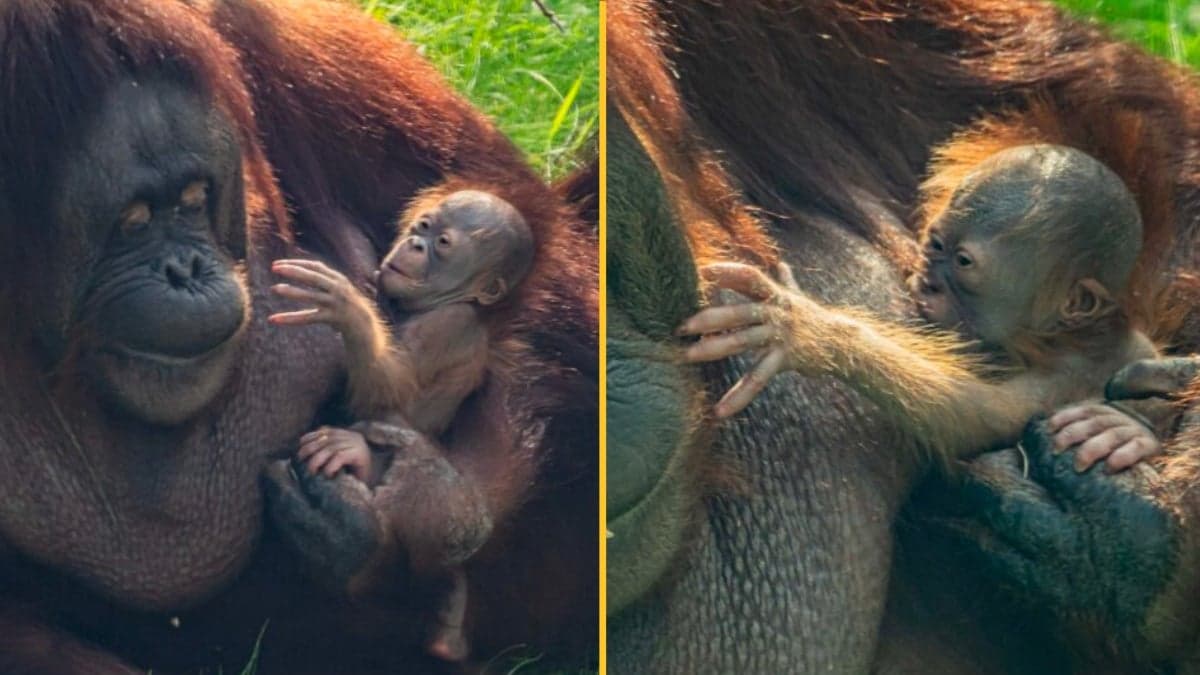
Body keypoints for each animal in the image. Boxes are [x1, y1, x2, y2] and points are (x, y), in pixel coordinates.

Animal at [269, 188, 534, 662]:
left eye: (442, 244)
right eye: (422, 227)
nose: (413, 244)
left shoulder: (448, 325)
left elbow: (391, 387)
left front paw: (346, 310)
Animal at [678, 144, 1169, 471]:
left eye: (964, 263)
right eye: (935, 243)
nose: (928, 281)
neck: (1060, 336)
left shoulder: (1059, 378)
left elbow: (977, 413)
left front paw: (805, 330)